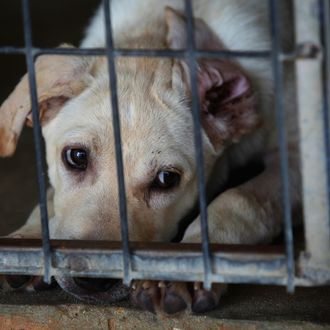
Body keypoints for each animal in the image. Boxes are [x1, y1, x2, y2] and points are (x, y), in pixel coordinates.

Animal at [0, 0, 300, 314]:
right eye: (77, 157)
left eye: (167, 179)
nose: (93, 279)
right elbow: (48, 198)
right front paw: (29, 241)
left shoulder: (295, 158)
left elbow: (241, 200)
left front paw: (186, 267)